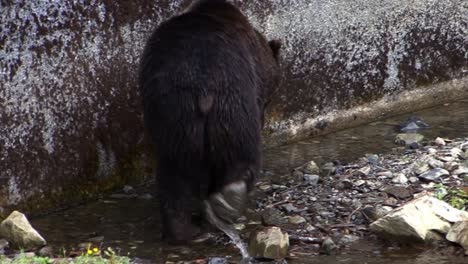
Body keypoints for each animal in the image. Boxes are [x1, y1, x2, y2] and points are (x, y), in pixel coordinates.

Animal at [137, 0, 280, 243]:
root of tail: (202, 89)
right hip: (233, 104)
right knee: (241, 150)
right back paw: (230, 197)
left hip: (174, 117)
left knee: (174, 172)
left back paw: (183, 230)